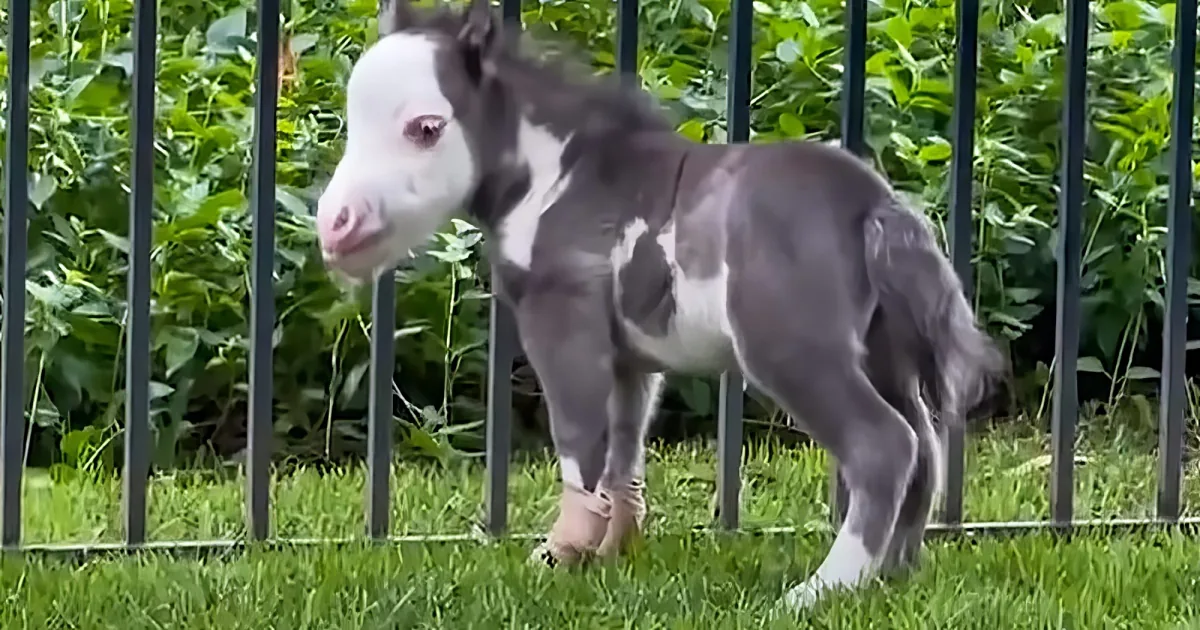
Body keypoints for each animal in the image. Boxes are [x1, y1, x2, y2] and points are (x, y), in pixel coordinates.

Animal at [314, 0, 1005, 612]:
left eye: (426, 128)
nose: (334, 225)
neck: (555, 177)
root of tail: (874, 206)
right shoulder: (631, 357)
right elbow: (623, 450)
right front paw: (611, 552)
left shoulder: (562, 321)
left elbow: (578, 440)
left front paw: (559, 555)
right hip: (884, 352)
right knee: (924, 444)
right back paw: (892, 575)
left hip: (792, 350)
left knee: (883, 445)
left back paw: (820, 590)